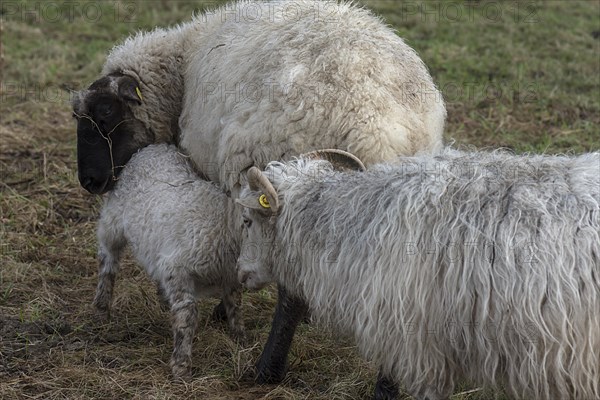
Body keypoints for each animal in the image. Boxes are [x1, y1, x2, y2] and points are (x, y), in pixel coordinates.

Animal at [94, 143, 244, 378]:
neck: (224, 222)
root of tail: (153, 147)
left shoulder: (229, 275)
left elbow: (235, 304)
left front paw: (240, 337)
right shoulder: (177, 269)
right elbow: (187, 313)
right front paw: (181, 364)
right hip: (113, 221)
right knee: (107, 260)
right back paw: (101, 307)